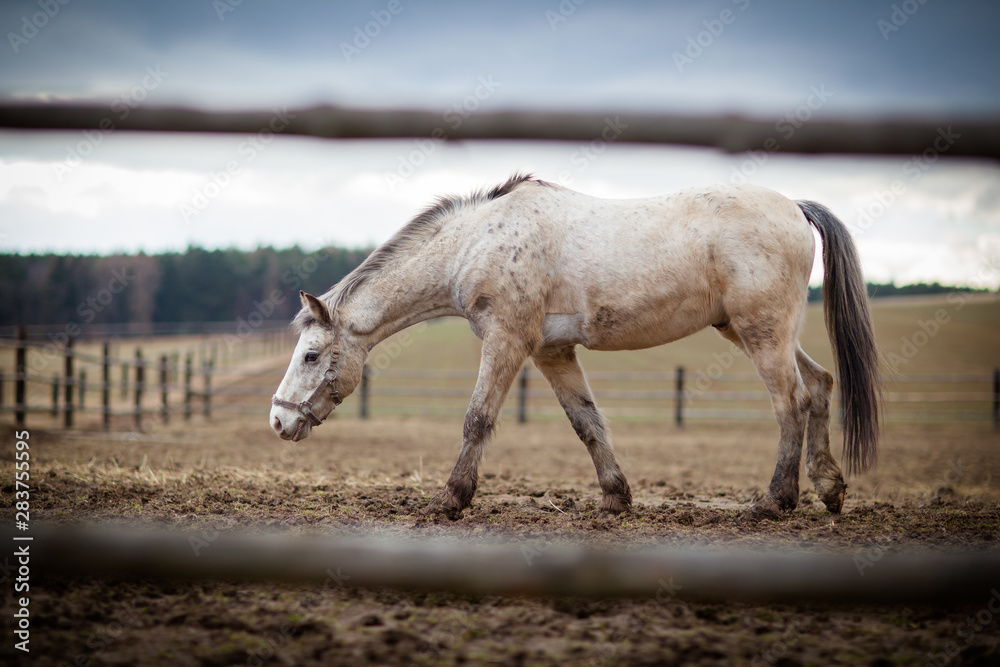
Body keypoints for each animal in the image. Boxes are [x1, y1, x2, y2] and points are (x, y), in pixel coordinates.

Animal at [270, 173, 881, 519]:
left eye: (311, 355)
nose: (278, 421)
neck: (476, 241)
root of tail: (794, 206)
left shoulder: (507, 340)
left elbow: (477, 419)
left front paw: (451, 499)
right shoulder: (550, 352)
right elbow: (587, 422)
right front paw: (615, 498)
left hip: (762, 333)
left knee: (791, 403)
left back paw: (775, 502)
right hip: (753, 331)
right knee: (820, 386)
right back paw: (830, 491)